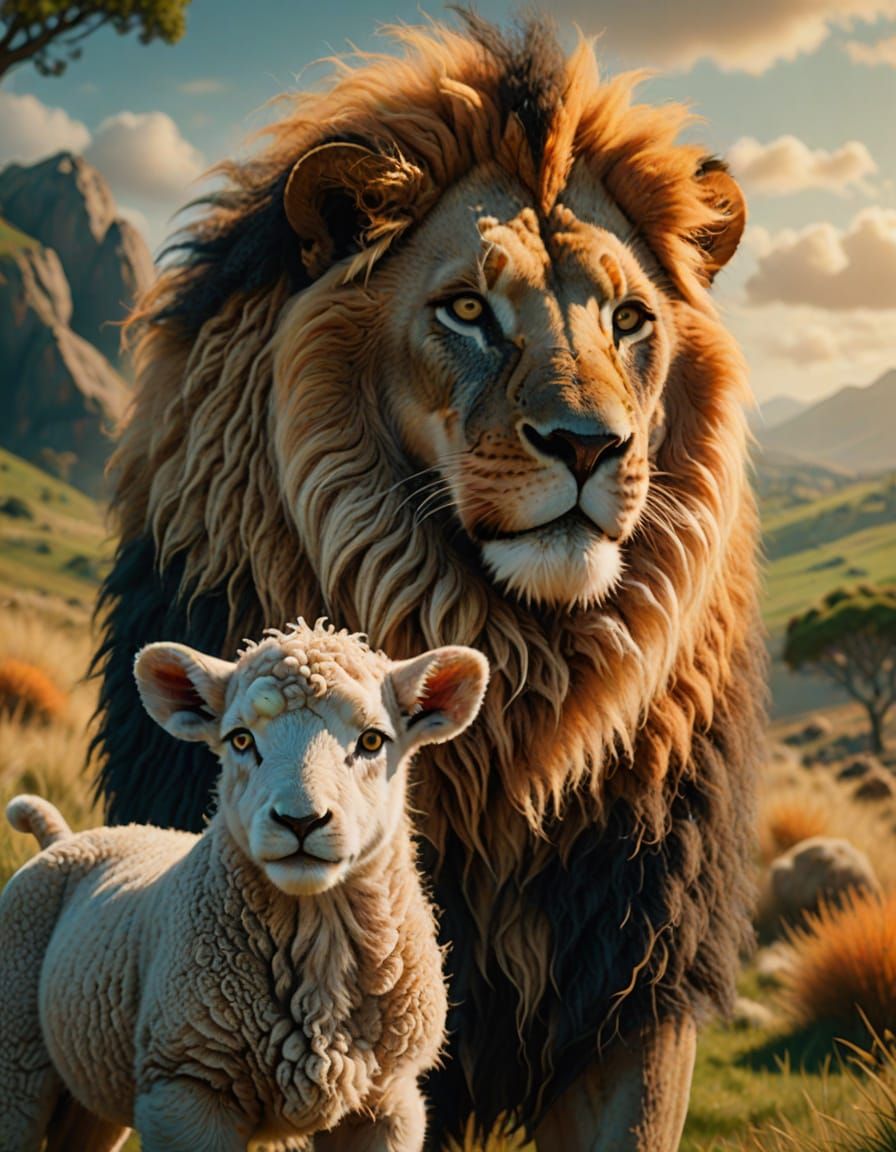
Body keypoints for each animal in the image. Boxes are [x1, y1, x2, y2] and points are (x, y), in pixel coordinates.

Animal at [0, 619, 489, 1152]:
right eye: (239, 739)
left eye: (373, 741)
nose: (301, 820)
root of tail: (66, 837)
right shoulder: (188, 1089)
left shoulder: (390, 1102)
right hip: (18, 1057)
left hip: (90, 1093)